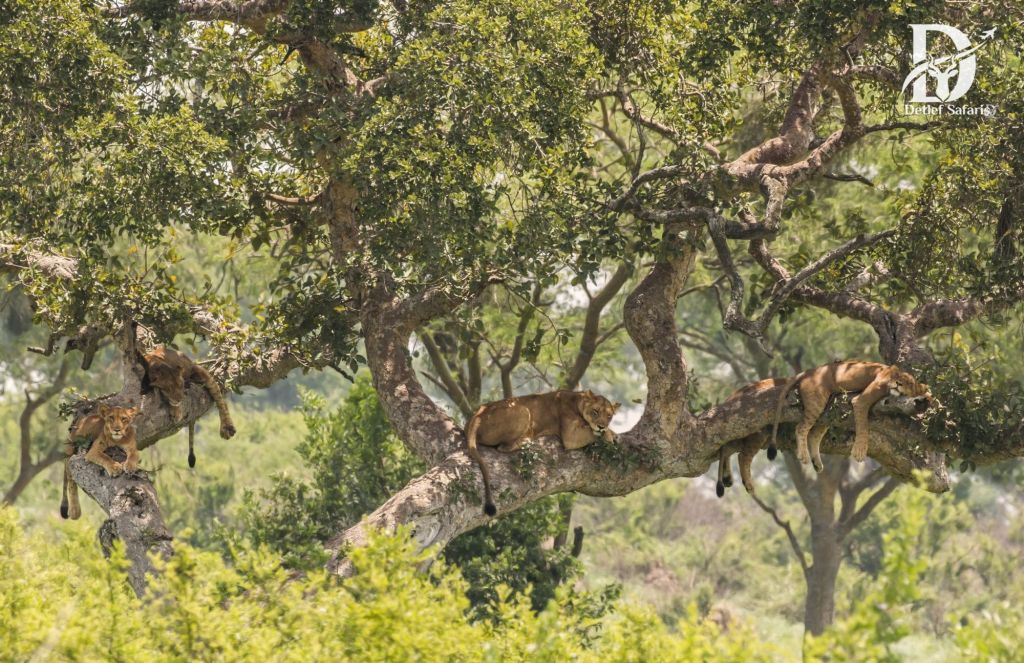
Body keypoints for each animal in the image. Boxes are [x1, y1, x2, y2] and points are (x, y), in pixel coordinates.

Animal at [466, 389, 620, 516]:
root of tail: (477, 415)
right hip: (523, 409)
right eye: (595, 412)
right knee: (503, 447)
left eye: (609, 416)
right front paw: (608, 435)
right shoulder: (570, 435)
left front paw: (612, 433)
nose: (601, 426)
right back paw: (527, 439)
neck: (578, 401)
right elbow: (592, 433)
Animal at [771, 360, 932, 471]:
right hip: (817, 401)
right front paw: (859, 451)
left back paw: (816, 463)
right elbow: (863, 426)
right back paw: (804, 456)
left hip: (827, 409)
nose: (898, 383)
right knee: (801, 428)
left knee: (814, 434)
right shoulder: (860, 401)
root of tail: (808, 371)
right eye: (898, 376)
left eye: (909, 383)